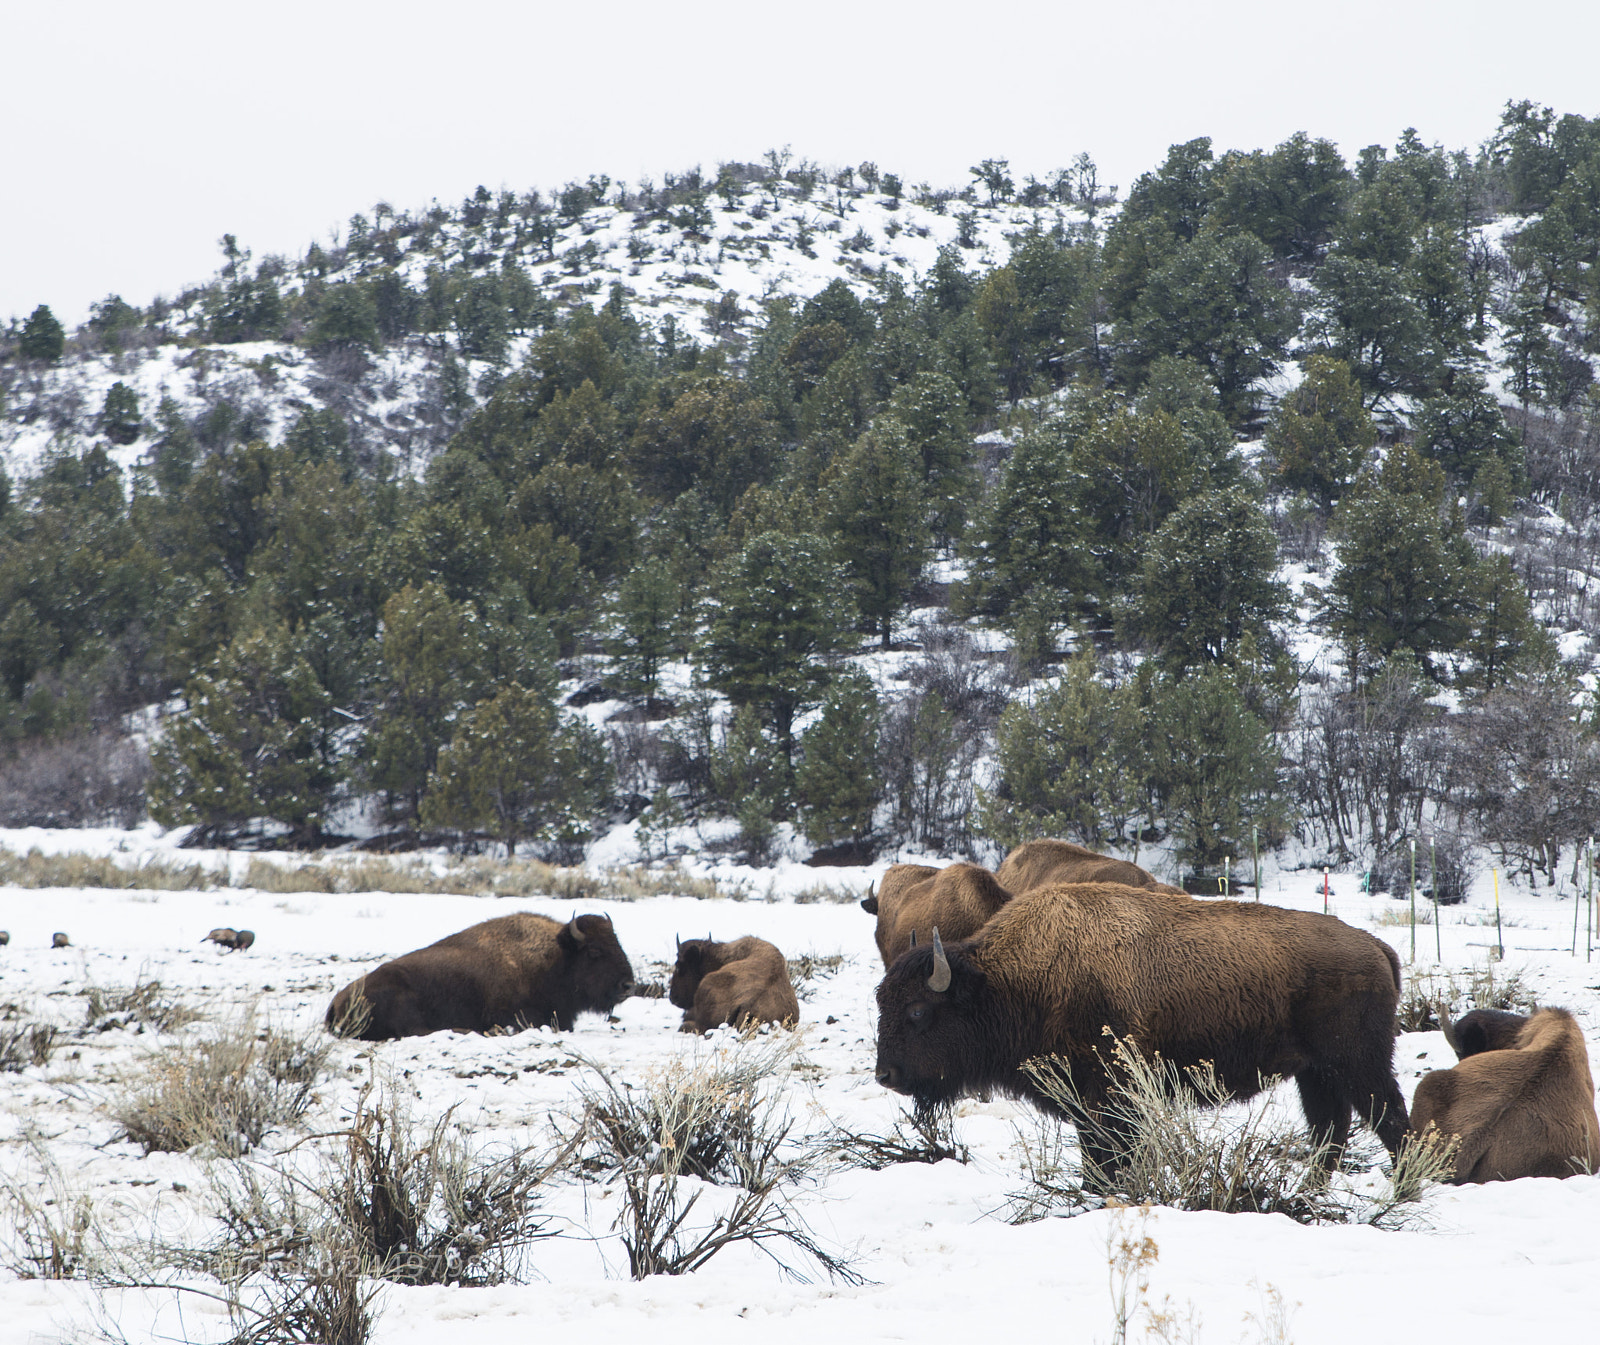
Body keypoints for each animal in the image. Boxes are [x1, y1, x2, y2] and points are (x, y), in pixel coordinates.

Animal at [874, 881, 1409, 1175]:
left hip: (1359, 1066)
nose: (886, 1075)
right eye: (881, 1002)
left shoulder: (1108, 1098)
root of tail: (1376, 947)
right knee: (1330, 1135)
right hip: (1316, 1073)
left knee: (1392, 1125)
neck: (1008, 980)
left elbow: (1106, 1159)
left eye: (918, 1011)